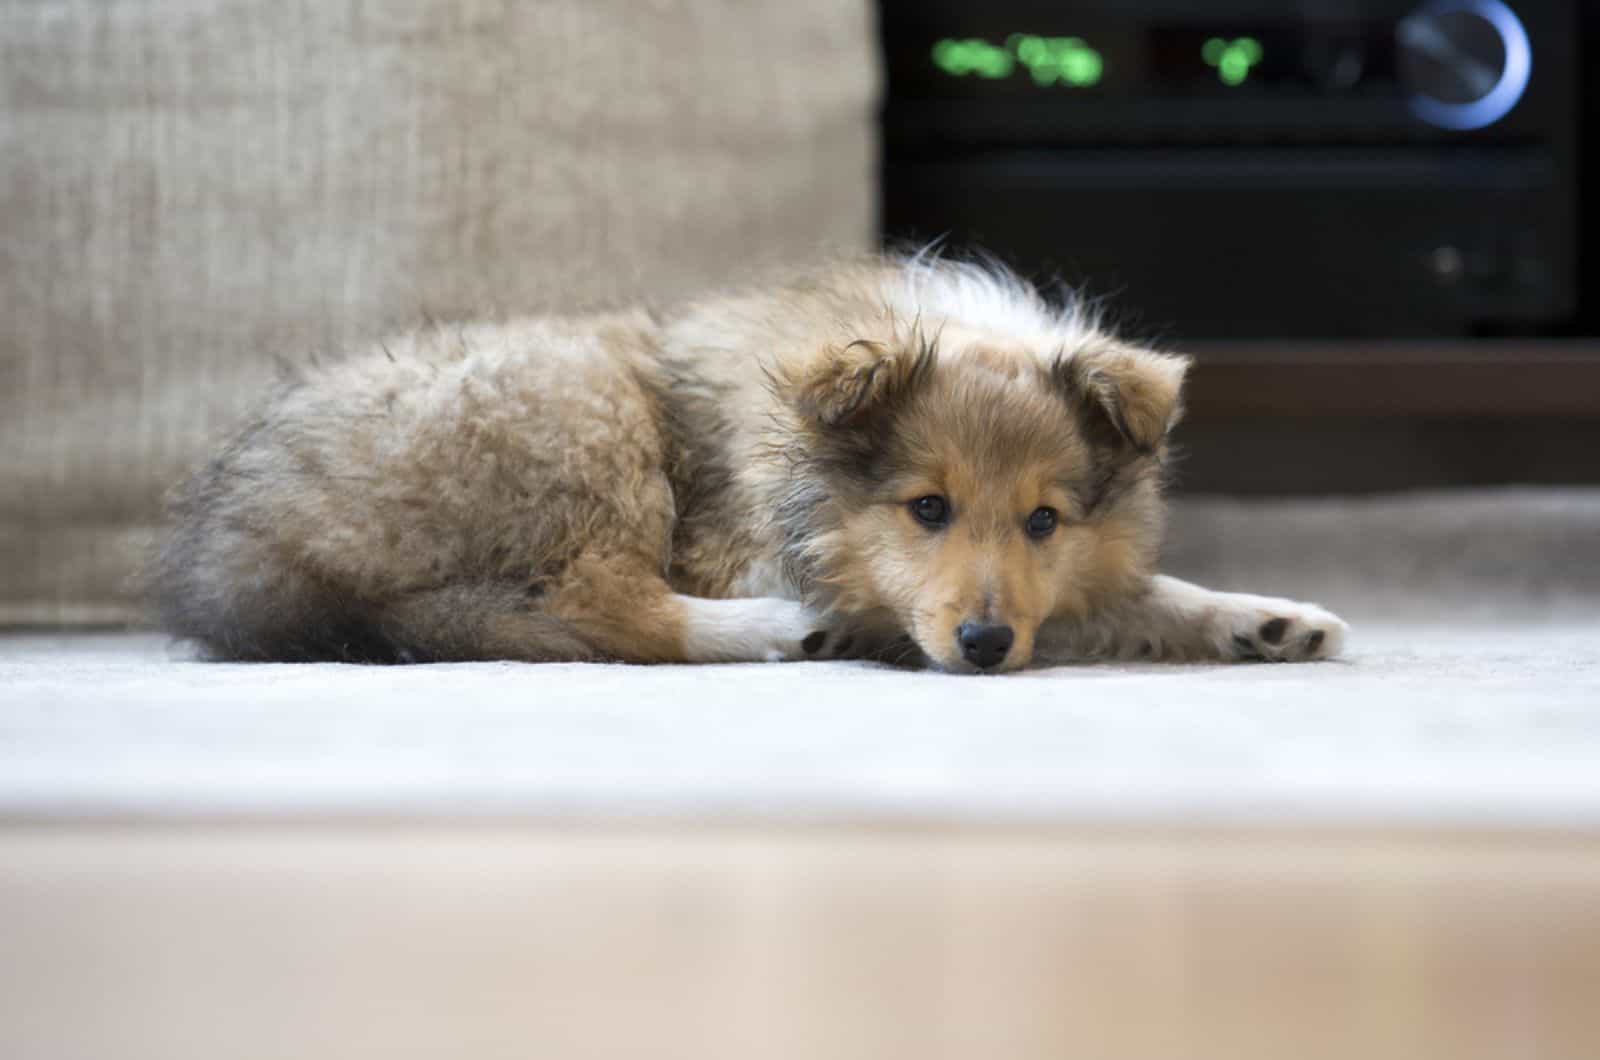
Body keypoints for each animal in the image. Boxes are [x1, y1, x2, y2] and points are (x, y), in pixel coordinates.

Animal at [156, 256, 1344, 672]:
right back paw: (777, 632)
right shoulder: (740, 545)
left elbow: (1138, 591)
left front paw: (1267, 620)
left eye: (1045, 520)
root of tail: (238, 557)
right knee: (599, 600)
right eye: (926, 508)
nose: (985, 645)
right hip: (584, 417)